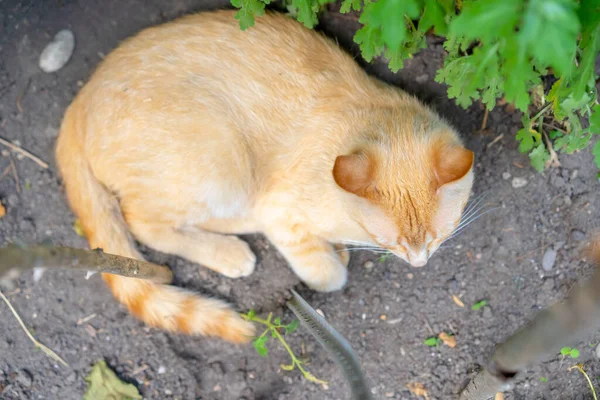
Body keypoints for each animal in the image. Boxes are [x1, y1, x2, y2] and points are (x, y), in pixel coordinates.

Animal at [55, 9, 474, 342]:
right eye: (388, 241)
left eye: (438, 236)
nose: (419, 263)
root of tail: (78, 104)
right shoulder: (279, 208)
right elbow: (320, 267)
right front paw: (332, 265)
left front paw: (338, 247)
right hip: (221, 159)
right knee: (143, 223)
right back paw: (229, 251)